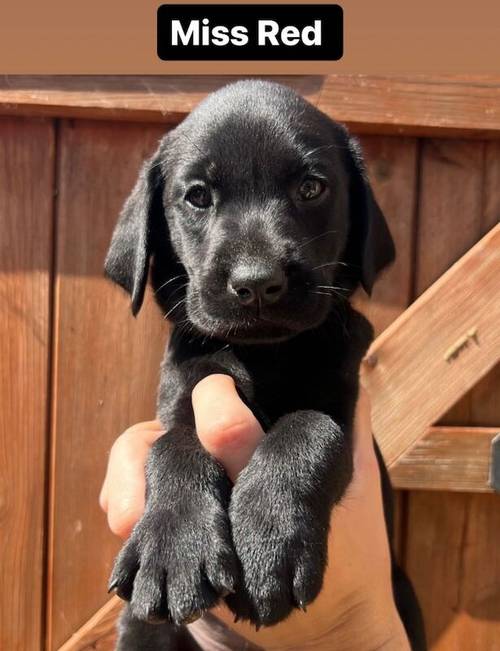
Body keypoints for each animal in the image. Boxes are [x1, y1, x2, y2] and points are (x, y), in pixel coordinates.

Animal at [105, 79, 426, 648]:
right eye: (197, 196)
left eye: (312, 188)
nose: (257, 283)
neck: (264, 353)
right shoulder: (184, 391)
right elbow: (174, 444)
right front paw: (174, 545)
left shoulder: (340, 397)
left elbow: (310, 429)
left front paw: (270, 543)